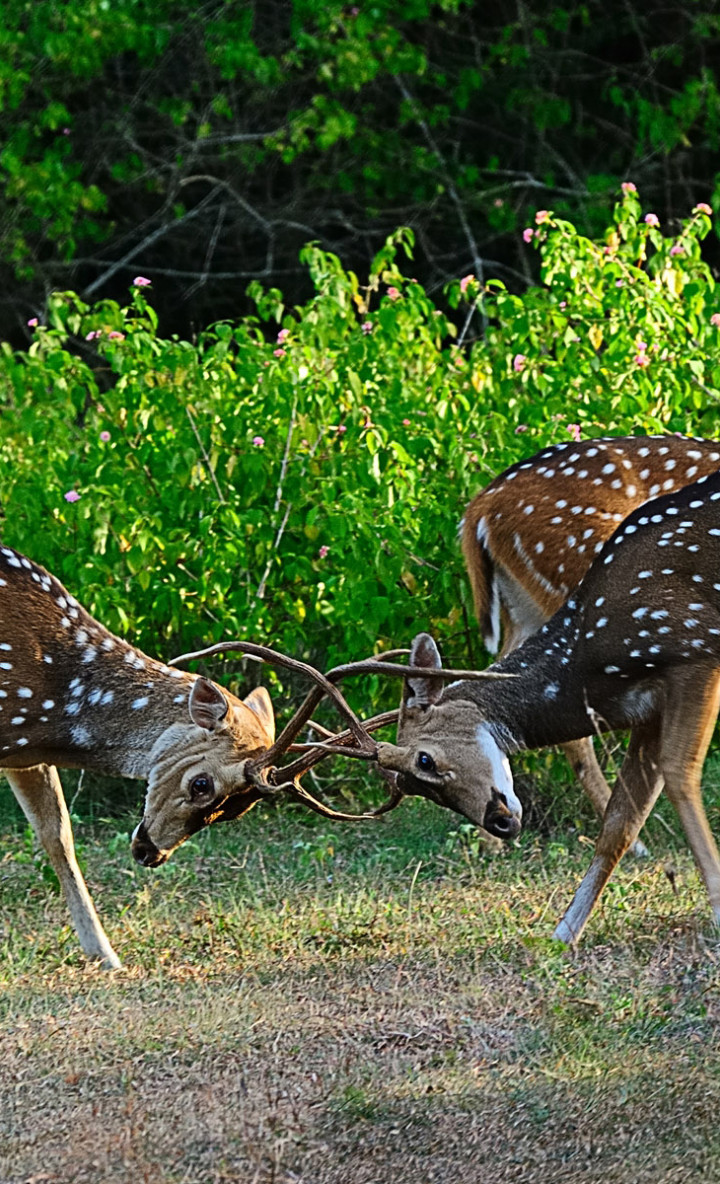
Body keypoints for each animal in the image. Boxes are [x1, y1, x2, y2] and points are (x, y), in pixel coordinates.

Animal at [0, 542, 277, 966]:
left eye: (237, 810)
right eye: (201, 784)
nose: (150, 854)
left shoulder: (25, 754)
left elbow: (58, 835)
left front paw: (104, 954)